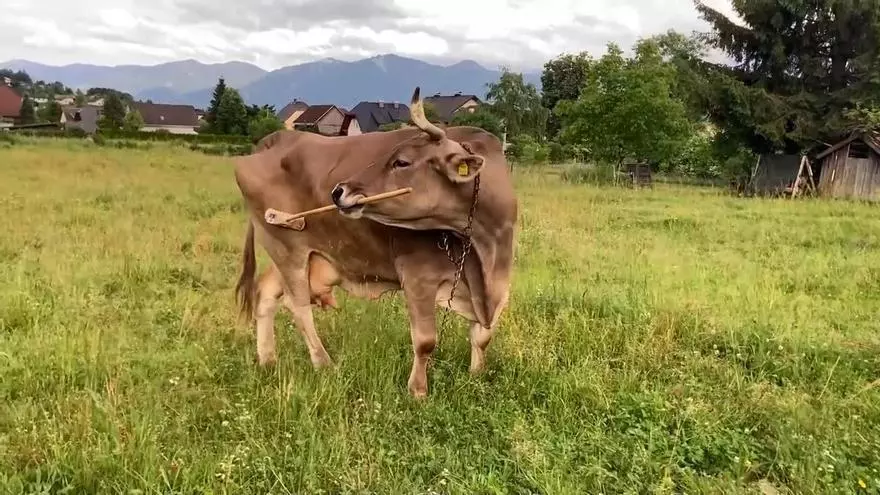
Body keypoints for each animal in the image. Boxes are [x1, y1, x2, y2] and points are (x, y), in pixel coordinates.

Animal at [232, 87, 517, 398]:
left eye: (401, 162)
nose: (338, 191)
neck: (483, 250)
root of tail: (274, 140)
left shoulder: (498, 284)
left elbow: (482, 337)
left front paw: (475, 377)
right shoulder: (417, 277)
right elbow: (426, 341)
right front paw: (418, 391)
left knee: (265, 293)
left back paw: (268, 360)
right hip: (286, 248)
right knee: (298, 307)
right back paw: (324, 364)